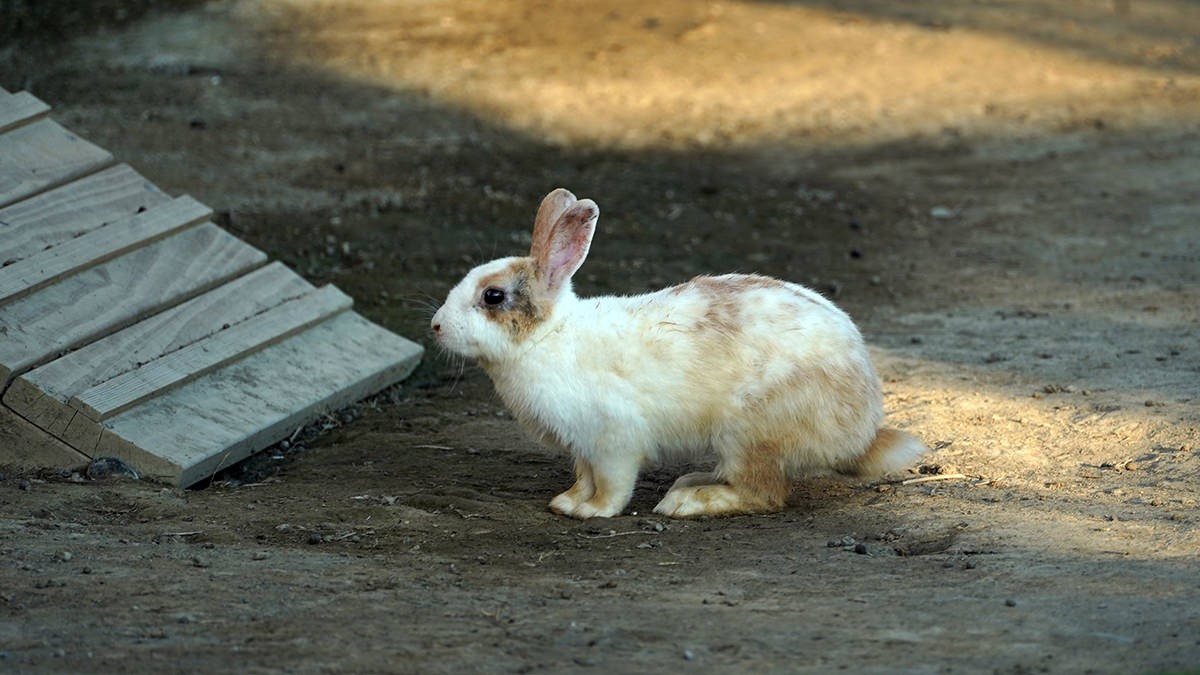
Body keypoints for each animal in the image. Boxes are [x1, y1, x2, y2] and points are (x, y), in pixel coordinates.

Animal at [432, 186, 926, 516]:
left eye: (493, 297)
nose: (436, 326)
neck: (547, 337)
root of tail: (862, 431)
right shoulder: (582, 447)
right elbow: (583, 478)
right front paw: (566, 503)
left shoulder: (613, 440)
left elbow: (611, 485)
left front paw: (593, 512)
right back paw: (690, 482)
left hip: (747, 434)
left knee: (763, 492)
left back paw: (688, 502)